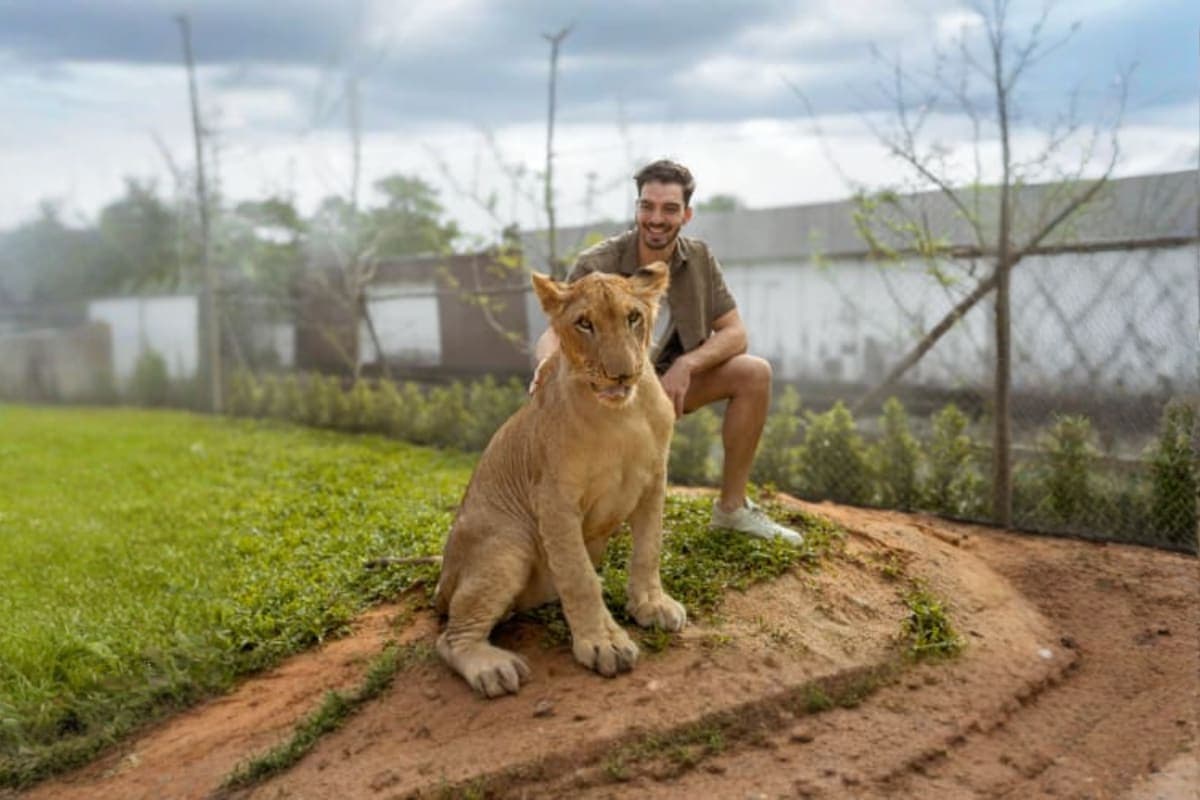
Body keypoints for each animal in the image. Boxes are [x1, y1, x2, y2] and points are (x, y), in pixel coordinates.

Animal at [433, 261, 687, 698]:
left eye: (633, 318)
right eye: (584, 324)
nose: (622, 375)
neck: (622, 416)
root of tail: (441, 582)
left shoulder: (655, 480)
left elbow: (648, 550)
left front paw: (652, 605)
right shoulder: (553, 499)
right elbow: (579, 575)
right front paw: (604, 642)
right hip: (508, 544)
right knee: (449, 637)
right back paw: (494, 669)